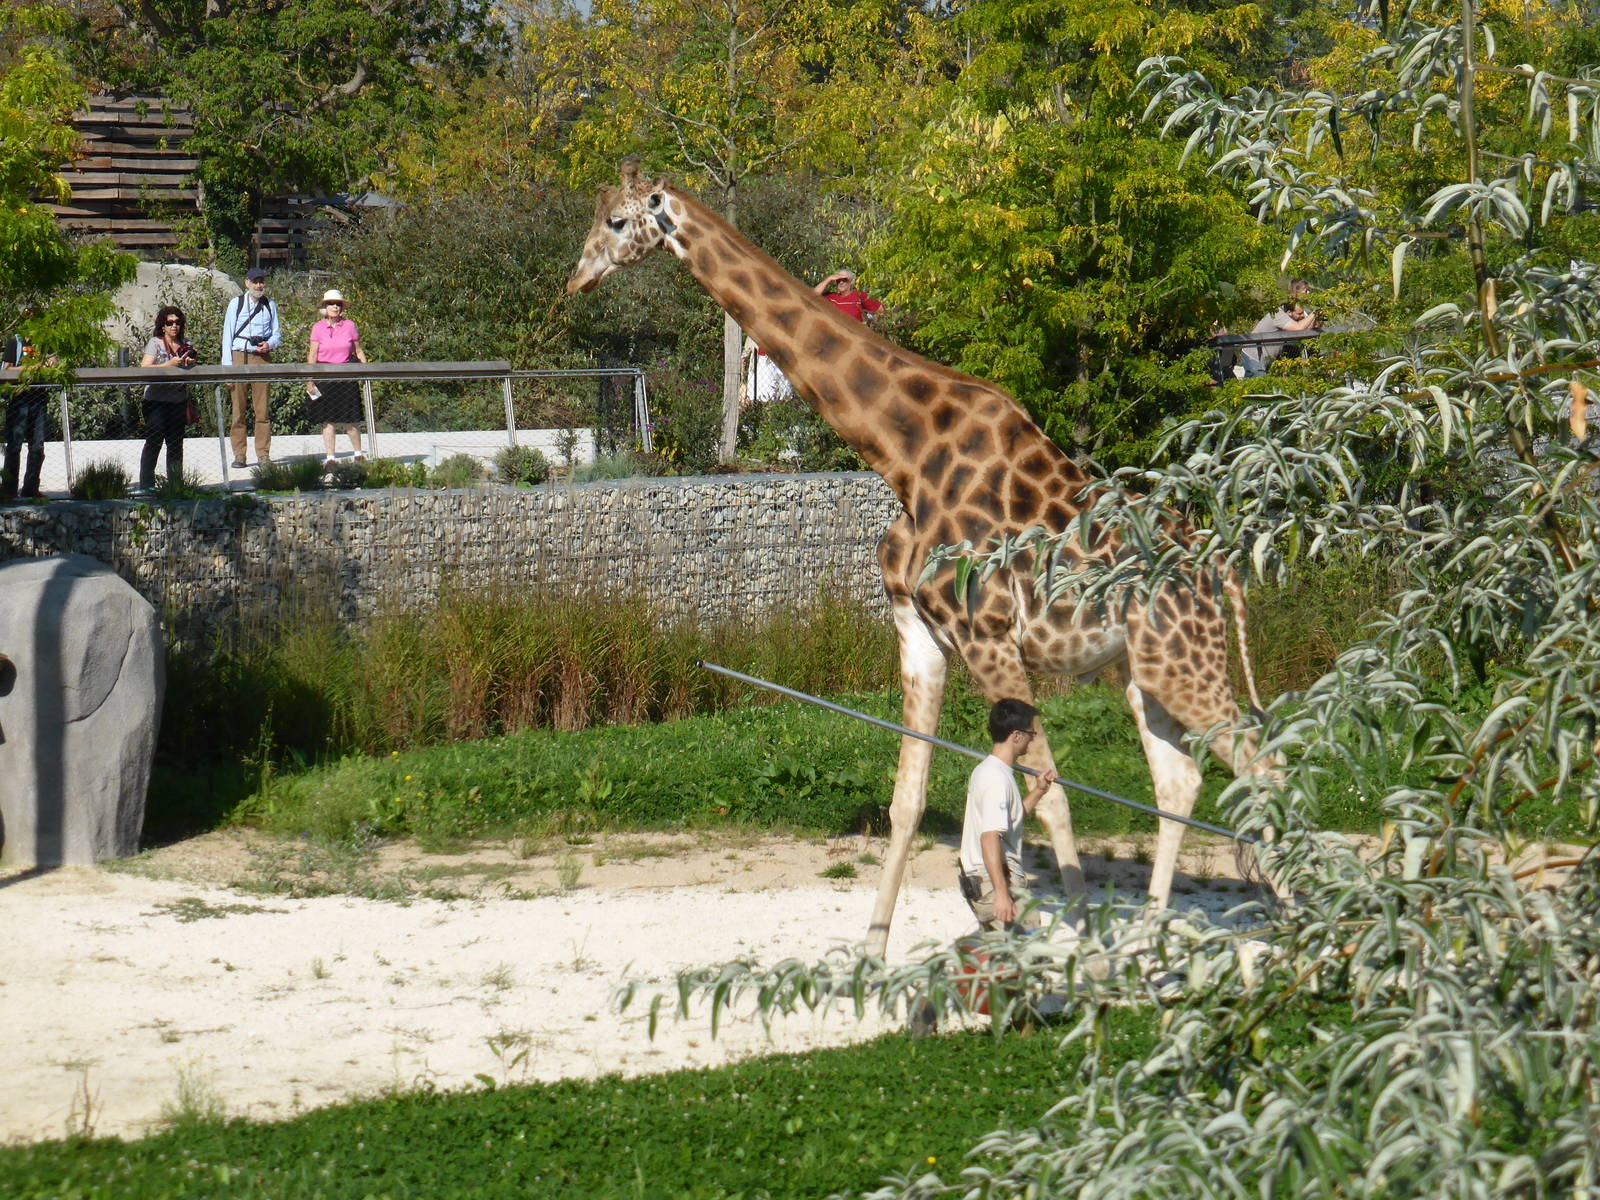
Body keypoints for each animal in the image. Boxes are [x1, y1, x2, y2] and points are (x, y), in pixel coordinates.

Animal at [568, 160, 1276, 957]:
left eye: (617, 222)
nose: (576, 280)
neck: (902, 457)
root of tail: (1220, 571)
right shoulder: (920, 634)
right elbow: (907, 799)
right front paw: (872, 952)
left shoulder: (989, 636)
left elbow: (1050, 798)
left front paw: (1083, 954)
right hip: (1145, 669)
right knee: (1181, 782)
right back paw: (1156, 942)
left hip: (1185, 662)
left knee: (1263, 764)